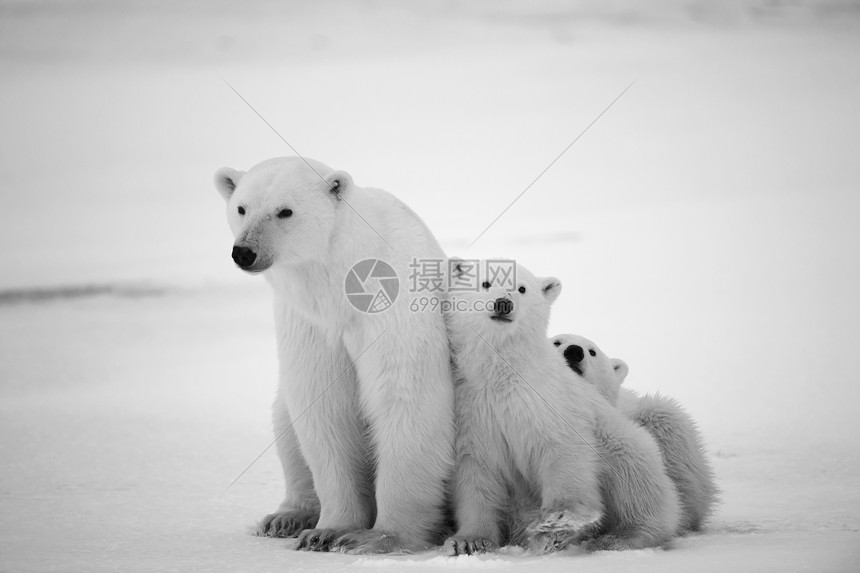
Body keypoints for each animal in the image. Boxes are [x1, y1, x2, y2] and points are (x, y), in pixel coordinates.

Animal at [213, 158, 456, 556]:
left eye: (285, 211)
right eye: (242, 208)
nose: (244, 252)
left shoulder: (390, 310)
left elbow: (405, 398)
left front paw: (379, 537)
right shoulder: (309, 323)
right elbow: (323, 407)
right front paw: (327, 531)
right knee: (285, 422)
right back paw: (286, 517)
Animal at [444, 262, 680, 552]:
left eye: (522, 288)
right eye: (486, 283)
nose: (503, 303)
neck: (502, 373)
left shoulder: (548, 398)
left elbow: (563, 450)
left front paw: (556, 524)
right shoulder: (473, 409)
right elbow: (475, 471)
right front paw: (469, 541)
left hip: (623, 441)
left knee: (634, 478)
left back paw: (621, 536)